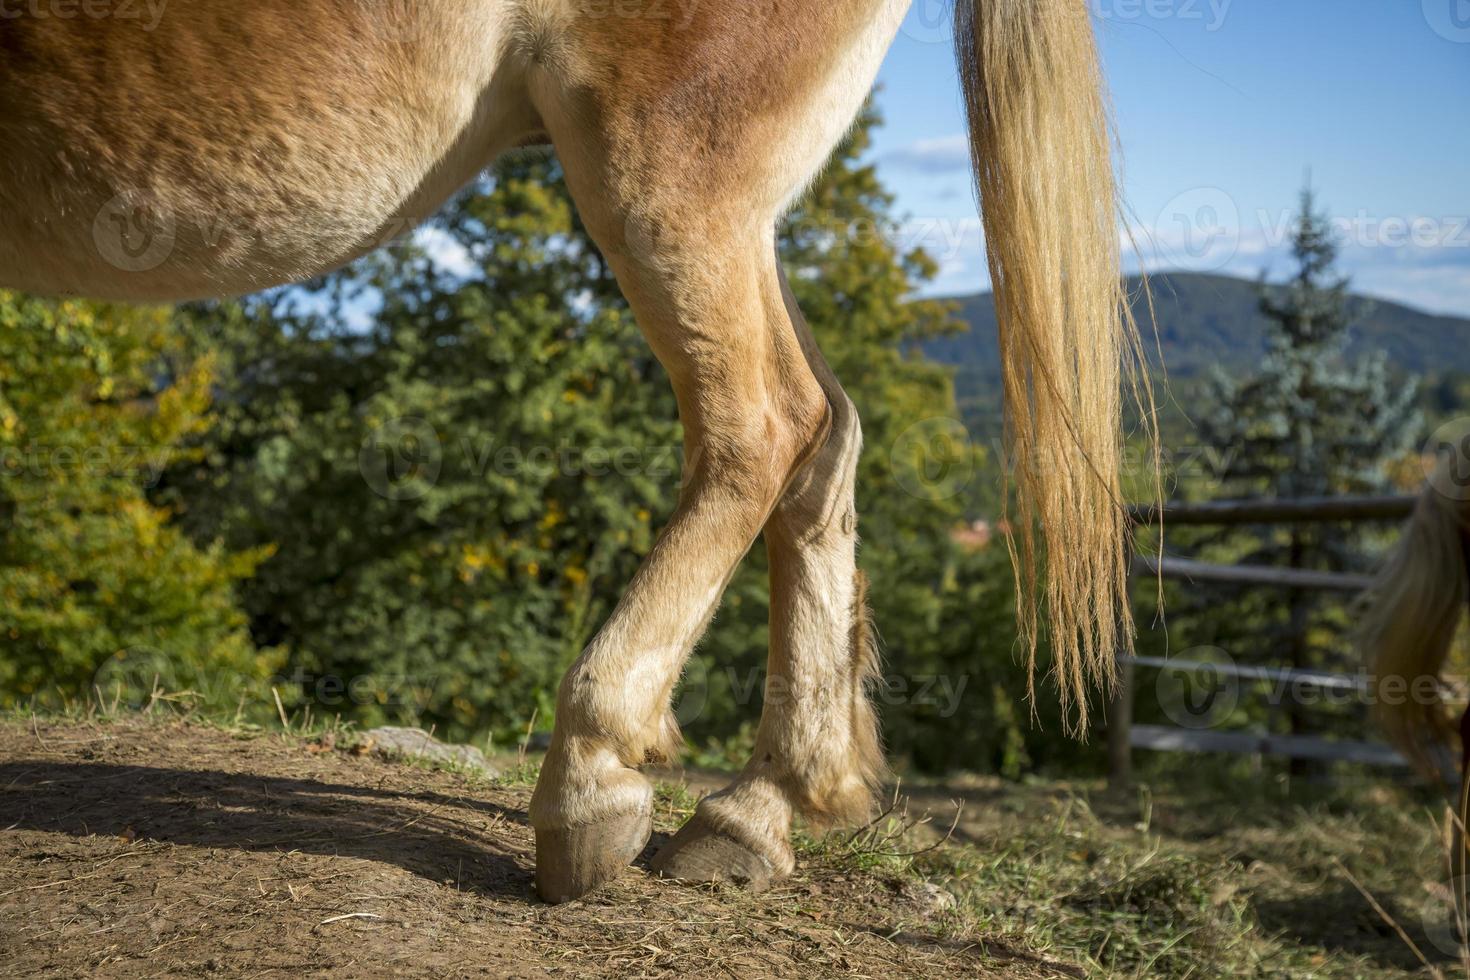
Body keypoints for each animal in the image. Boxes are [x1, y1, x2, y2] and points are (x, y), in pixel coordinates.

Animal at [0, 1, 1140, 905]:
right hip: (744, 212)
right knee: (831, 432)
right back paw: (756, 808)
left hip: (671, 165)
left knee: (764, 425)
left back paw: (593, 773)